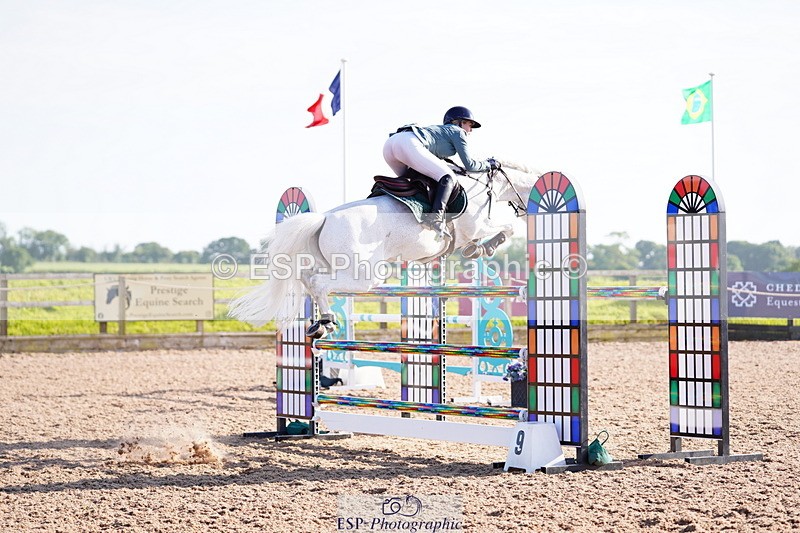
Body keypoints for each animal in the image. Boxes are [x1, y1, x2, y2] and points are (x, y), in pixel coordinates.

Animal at [228, 160, 540, 337]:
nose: (526, 212)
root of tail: (324, 218)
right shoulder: (475, 226)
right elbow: (504, 229)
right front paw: (486, 247)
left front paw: (478, 250)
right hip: (364, 276)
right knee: (318, 283)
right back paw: (327, 322)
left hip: (336, 265)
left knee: (308, 279)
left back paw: (322, 324)